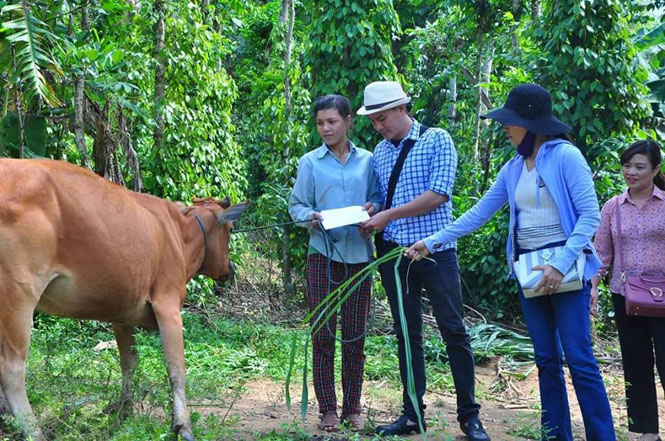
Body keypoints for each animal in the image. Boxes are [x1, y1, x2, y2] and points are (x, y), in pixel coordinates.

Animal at [0, 158, 248, 440]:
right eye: (230, 229)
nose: (229, 269)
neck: (179, 232)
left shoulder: (122, 316)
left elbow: (129, 362)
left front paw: (123, 411)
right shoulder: (167, 305)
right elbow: (176, 368)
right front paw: (182, 425)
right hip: (19, 294)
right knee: (11, 369)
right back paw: (33, 431)